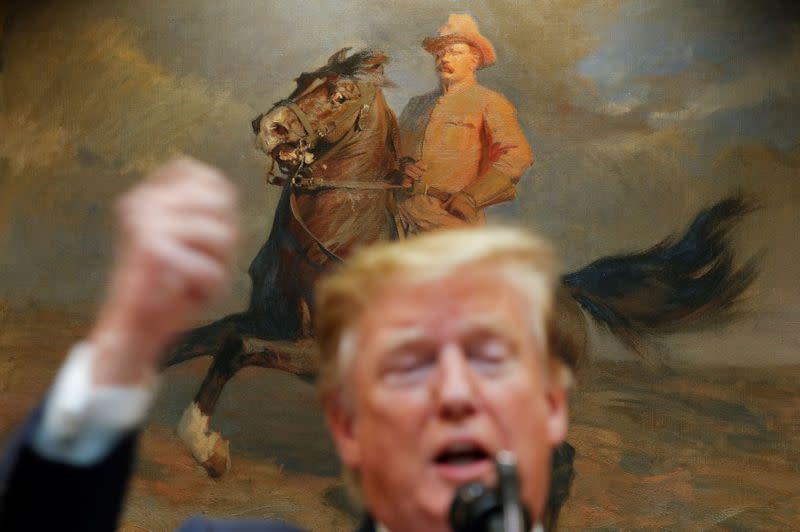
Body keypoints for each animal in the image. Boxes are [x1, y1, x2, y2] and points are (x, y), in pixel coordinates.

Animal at [164, 48, 756, 528]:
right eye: (300, 79)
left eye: (340, 95)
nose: (269, 125)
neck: (336, 237)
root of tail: (563, 290)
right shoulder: (269, 321)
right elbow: (203, 339)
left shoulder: (321, 353)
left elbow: (235, 347)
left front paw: (205, 446)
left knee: (557, 462)